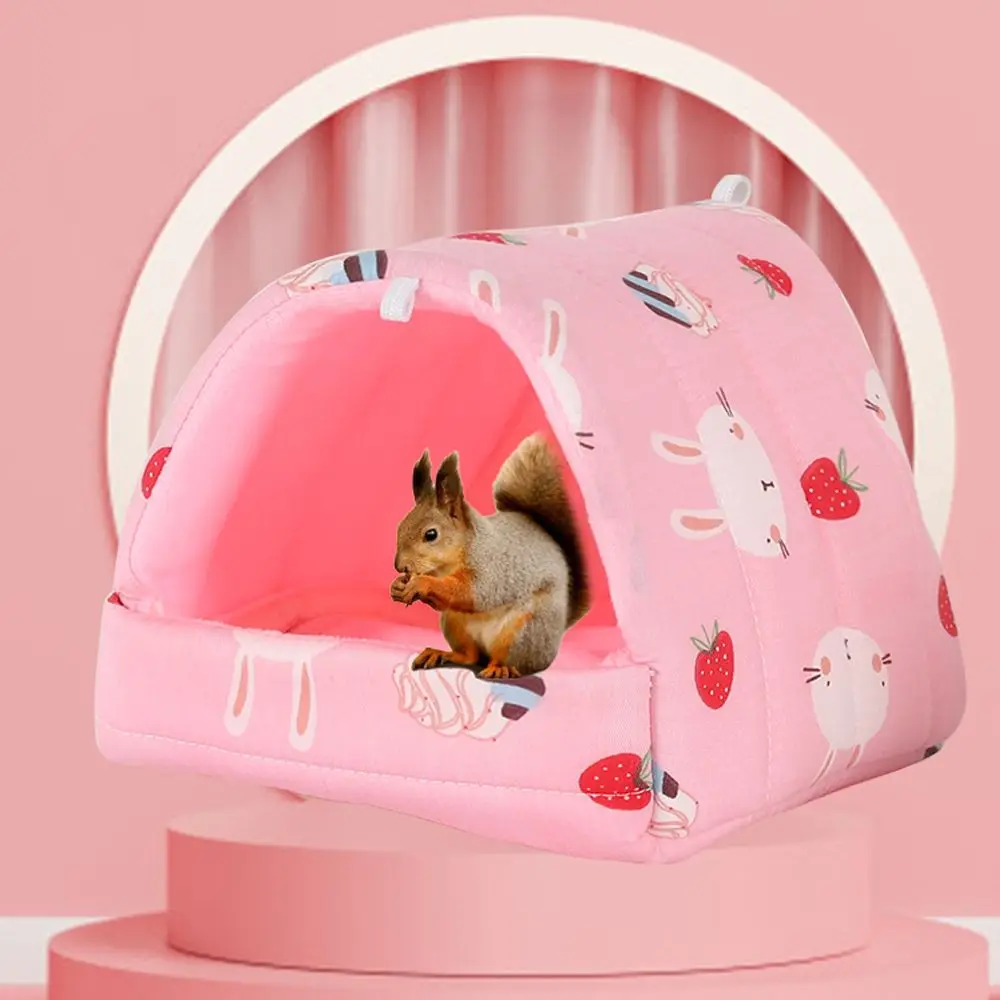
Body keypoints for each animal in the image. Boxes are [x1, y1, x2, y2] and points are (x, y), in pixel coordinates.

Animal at [390, 433, 590, 681]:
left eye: (431, 534)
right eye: (400, 527)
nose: (400, 566)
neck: (449, 564)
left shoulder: (491, 567)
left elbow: (472, 592)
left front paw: (421, 583)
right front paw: (397, 586)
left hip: (524, 631)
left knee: (515, 662)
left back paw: (501, 668)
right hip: (454, 622)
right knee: (470, 656)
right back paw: (440, 653)